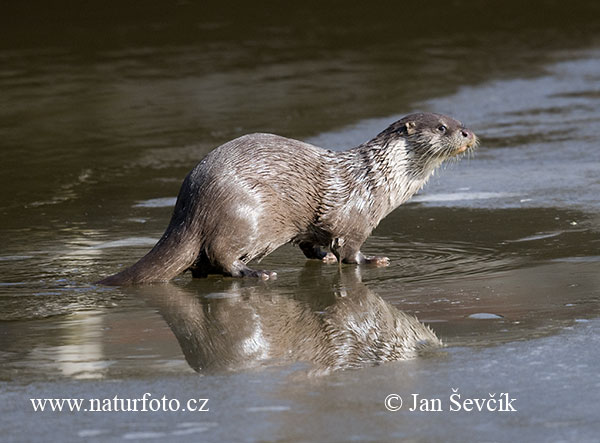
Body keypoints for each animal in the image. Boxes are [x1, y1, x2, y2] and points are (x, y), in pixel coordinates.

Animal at [98, 111, 478, 284]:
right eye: (441, 127)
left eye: (457, 120)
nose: (467, 133)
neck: (378, 181)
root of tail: (189, 209)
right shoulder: (355, 220)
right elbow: (351, 253)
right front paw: (372, 260)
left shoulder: (315, 226)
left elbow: (312, 243)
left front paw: (323, 258)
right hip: (242, 214)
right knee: (221, 255)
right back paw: (257, 273)